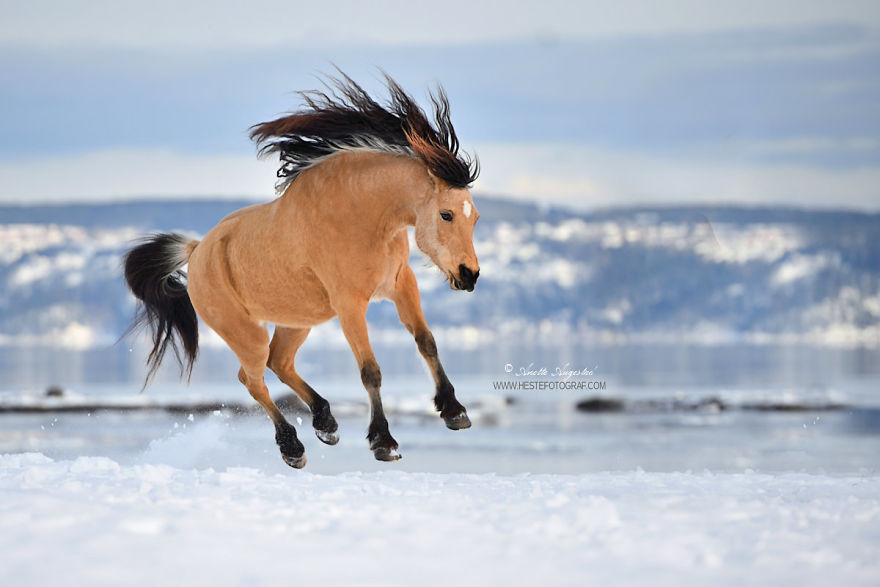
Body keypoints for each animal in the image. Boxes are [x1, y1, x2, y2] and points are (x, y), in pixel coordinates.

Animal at [123, 72, 481, 468]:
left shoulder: (401, 284)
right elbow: (370, 370)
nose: (469, 275)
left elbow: (426, 341)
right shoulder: (349, 303)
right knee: (252, 378)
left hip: (298, 321)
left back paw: (326, 422)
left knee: (278, 362)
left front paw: (454, 411)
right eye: (446, 214)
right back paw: (293, 446)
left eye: (475, 217)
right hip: (244, 332)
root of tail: (196, 250)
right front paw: (383, 442)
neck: (361, 213)